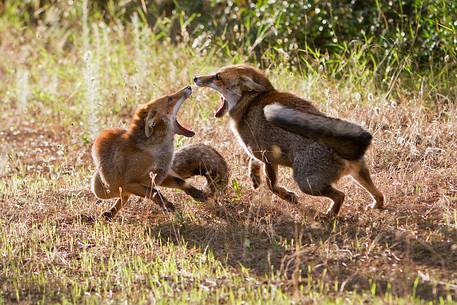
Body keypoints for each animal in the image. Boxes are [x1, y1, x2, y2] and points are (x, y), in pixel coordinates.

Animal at [194, 63, 382, 216]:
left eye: (217, 77)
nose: (195, 78)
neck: (249, 104)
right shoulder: (258, 153)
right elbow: (253, 162)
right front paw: (254, 177)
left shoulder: (268, 157)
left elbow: (272, 186)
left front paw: (288, 196)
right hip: (359, 174)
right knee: (379, 196)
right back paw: (375, 206)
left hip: (306, 183)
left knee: (341, 195)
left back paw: (330, 214)